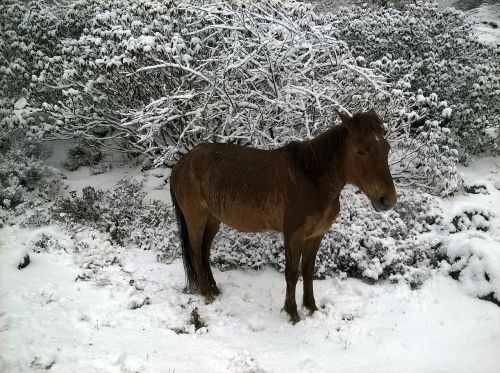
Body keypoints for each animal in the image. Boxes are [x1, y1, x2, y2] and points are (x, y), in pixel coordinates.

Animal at [170, 108, 396, 322]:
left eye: (387, 148)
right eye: (360, 151)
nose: (388, 199)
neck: (312, 178)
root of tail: (182, 163)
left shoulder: (316, 235)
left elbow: (308, 271)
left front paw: (311, 307)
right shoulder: (294, 235)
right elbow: (292, 273)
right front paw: (292, 313)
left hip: (213, 219)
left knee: (205, 251)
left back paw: (214, 289)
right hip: (196, 218)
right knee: (196, 251)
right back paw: (206, 293)